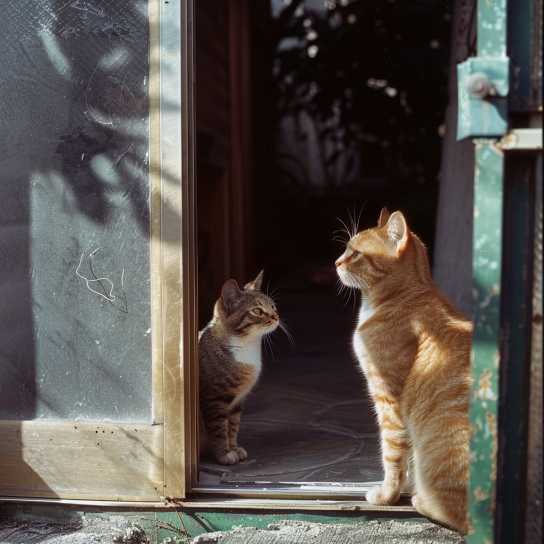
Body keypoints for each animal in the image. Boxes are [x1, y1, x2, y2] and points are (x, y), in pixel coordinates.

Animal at [198, 270, 278, 464]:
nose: (276, 316)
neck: (246, 346)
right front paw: (224, 454)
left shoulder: (237, 402)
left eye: (273, 306)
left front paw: (233, 448)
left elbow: (233, 426)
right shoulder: (214, 399)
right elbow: (219, 429)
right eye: (257, 311)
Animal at [336, 209, 472, 536]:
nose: (336, 263)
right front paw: (402, 488)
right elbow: (405, 456)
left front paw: (388, 495)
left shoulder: (387, 400)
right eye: (346, 248)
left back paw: (422, 500)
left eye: (355, 252)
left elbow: (393, 454)